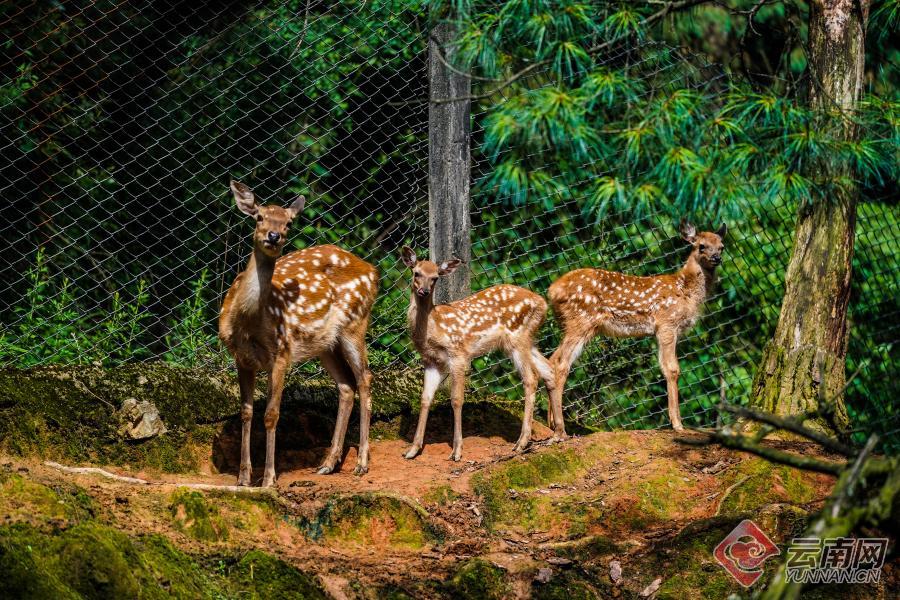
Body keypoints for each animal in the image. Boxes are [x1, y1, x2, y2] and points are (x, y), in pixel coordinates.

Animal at [220, 180, 378, 486]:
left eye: (289, 222)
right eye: (259, 217)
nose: (274, 236)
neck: (248, 323)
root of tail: (373, 270)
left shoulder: (281, 351)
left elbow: (271, 415)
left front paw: (268, 478)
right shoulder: (241, 358)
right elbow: (246, 413)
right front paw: (243, 478)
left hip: (355, 323)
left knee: (364, 378)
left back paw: (362, 463)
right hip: (324, 343)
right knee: (346, 385)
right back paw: (327, 463)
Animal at [400, 246, 560, 462]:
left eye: (435, 277)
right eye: (416, 273)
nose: (423, 291)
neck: (433, 327)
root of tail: (543, 303)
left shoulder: (458, 354)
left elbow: (456, 399)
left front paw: (457, 451)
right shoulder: (432, 361)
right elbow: (425, 399)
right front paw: (413, 450)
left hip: (517, 337)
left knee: (531, 377)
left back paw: (522, 442)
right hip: (524, 341)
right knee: (549, 369)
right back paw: (558, 434)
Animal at [544, 219, 728, 432]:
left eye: (721, 246)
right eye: (701, 246)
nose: (716, 258)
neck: (685, 291)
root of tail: (552, 290)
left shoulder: (661, 330)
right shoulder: (667, 323)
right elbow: (672, 369)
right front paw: (677, 424)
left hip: (573, 324)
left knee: (552, 359)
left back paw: (550, 422)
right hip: (581, 320)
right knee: (561, 363)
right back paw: (560, 427)